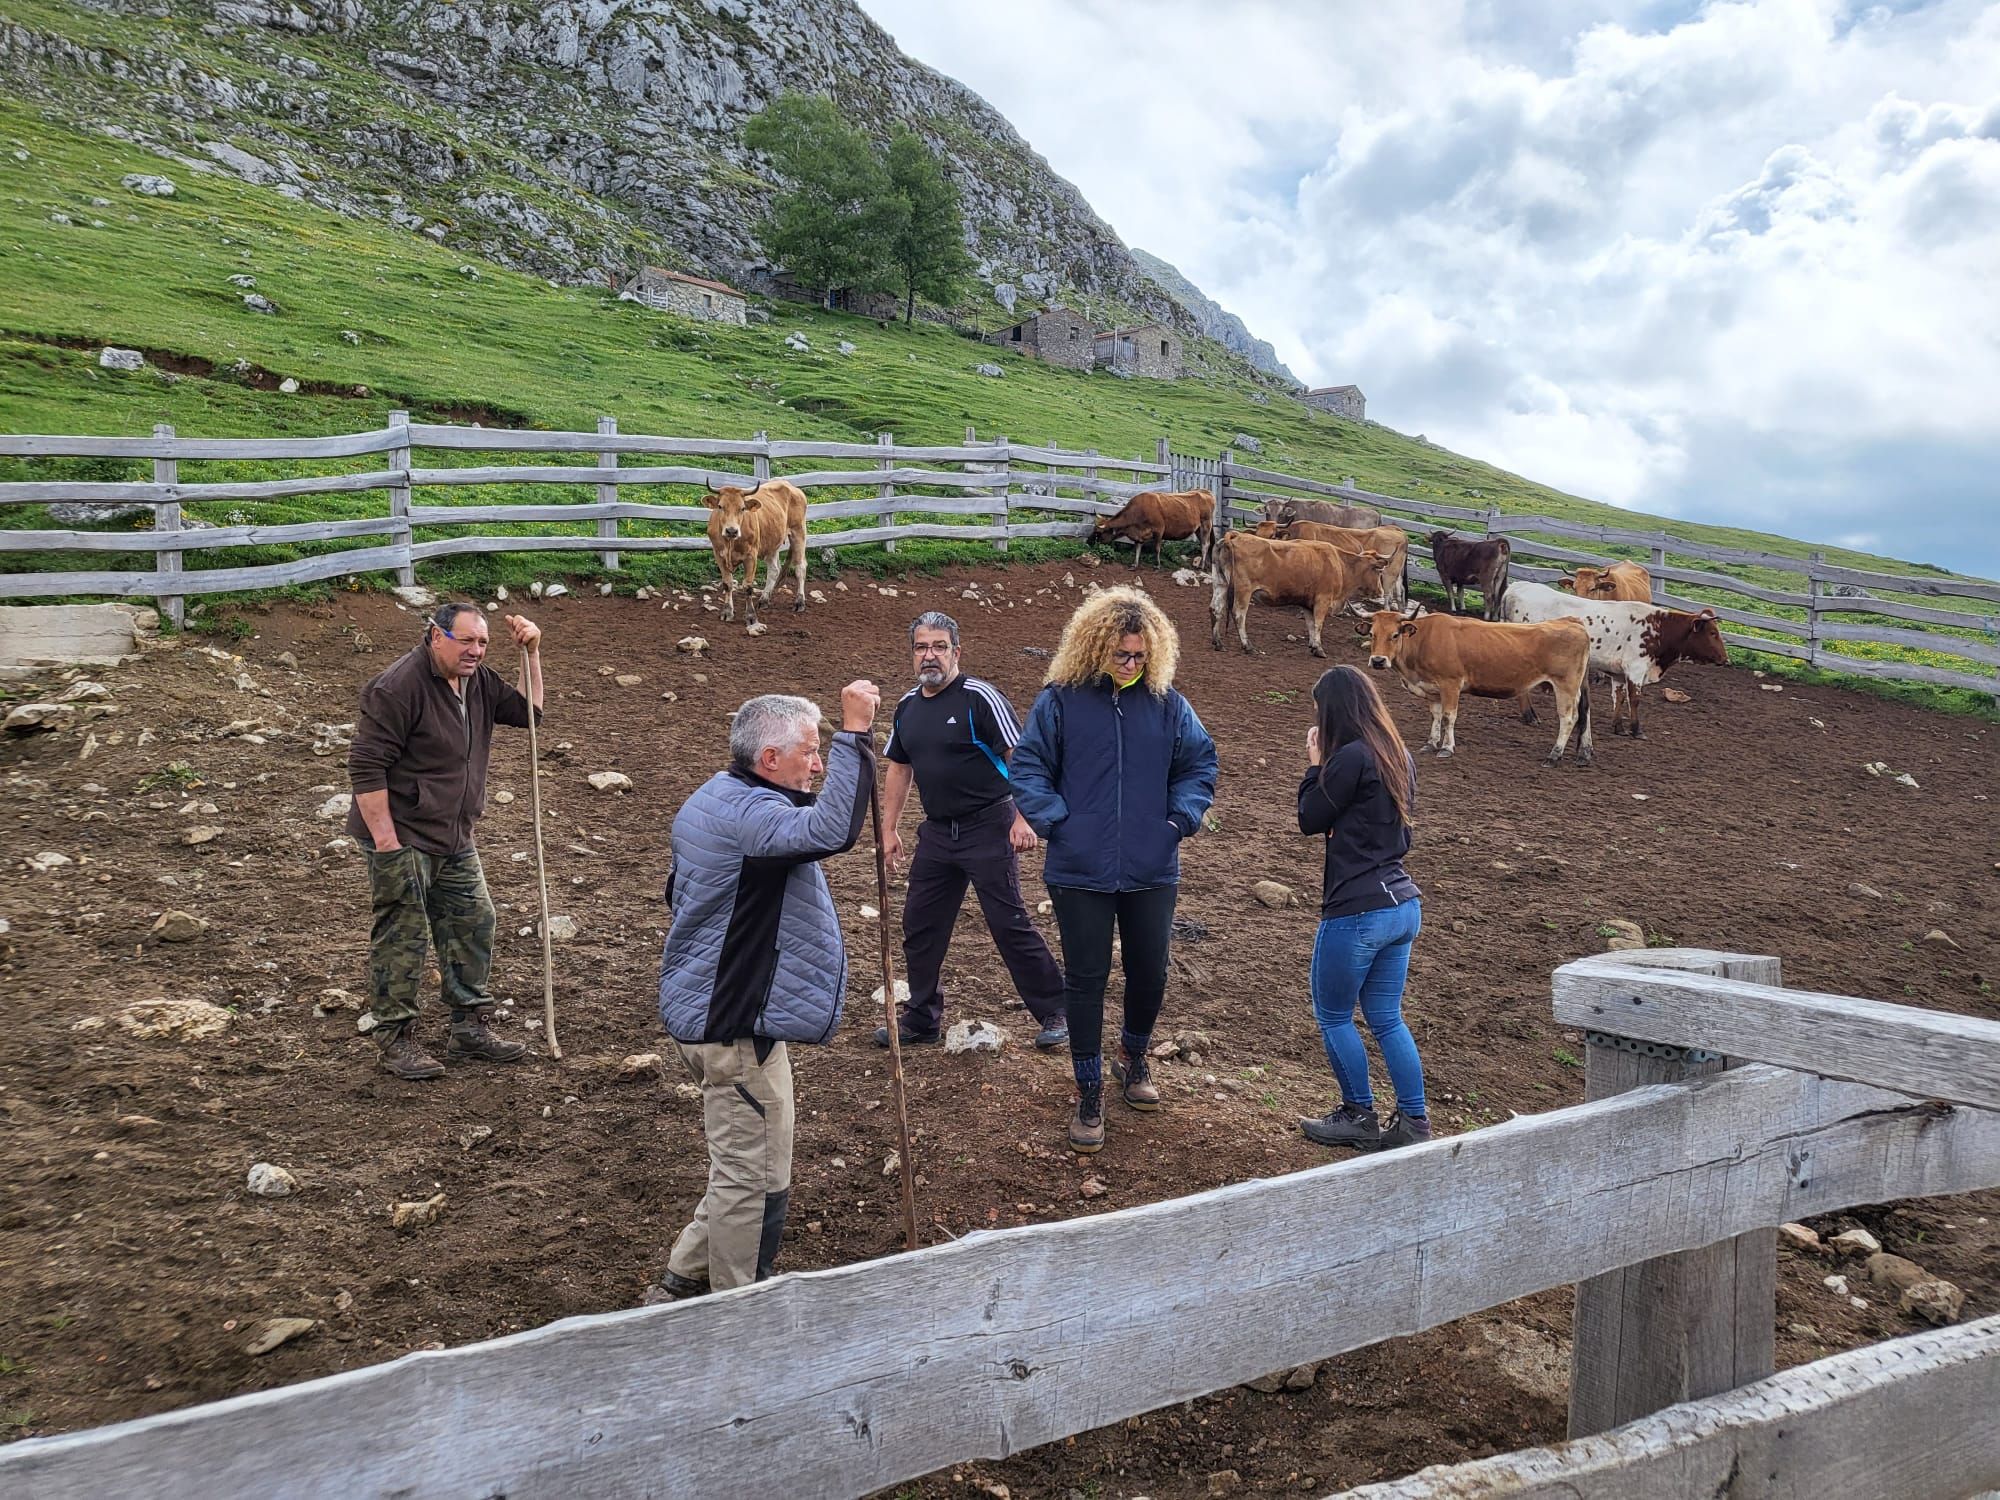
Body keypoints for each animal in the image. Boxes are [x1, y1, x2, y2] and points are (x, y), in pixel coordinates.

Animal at [700, 478, 800, 624]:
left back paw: (800, 602)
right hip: (772, 544)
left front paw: (751, 616)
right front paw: (727, 612)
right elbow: (727, 584)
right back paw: (764, 600)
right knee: (774, 570)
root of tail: (789, 485)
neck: (731, 543)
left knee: (800, 568)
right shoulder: (718, 555)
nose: (731, 531)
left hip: (798, 532)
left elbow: (747, 587)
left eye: (742, 508)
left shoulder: (751, 556)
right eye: (720, 506)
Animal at [1208, 536, 1384, 660]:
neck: (1339, 563)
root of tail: (1234, 537)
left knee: (1215, 609)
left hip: (1221, 584)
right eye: (1378, 571)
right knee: (1239, 615)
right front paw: (1319, 649)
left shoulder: (1307, 603)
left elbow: (1311, 624)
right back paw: (1248, 646)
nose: (1381, 592)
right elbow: (1318, 624)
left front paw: (1313, 645)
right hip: (1243, 590)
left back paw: (1218, 643)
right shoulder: (1323, 600)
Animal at [1360, 608, 1592, 768]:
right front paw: (1431, 743)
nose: (1378, 661)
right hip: (1576, 687)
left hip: (1565, 685)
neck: (1424, 639)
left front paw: (1446, 748)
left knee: (1568, 718)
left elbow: (1448, 717)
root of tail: (1572, 622)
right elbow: (1436, 716)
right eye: (1371, 634)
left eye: (1395, 635)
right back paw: (1584, 753)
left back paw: (1554, 755)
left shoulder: (1451, 684)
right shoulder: (1433, 689)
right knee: (1584, 713)